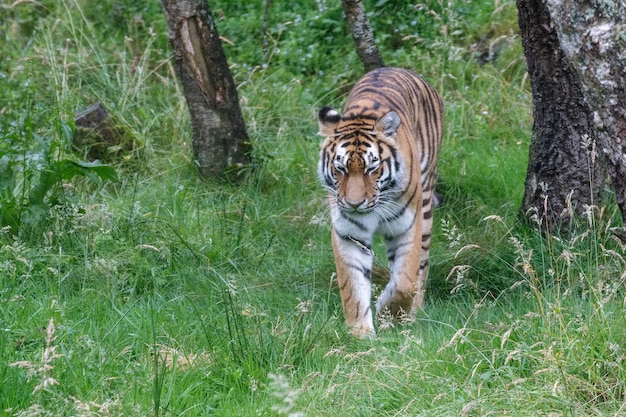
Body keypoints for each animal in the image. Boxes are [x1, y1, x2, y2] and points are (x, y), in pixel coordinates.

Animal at [316, 66, 444, 336]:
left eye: (371, 169)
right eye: (340, 168)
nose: (354, 204)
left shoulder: (407, 226)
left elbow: (405, 280)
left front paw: (388, 312)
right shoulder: (349, 234)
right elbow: (353, 286)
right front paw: (360, 334)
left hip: (426, 206)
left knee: (422, 267)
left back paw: (415, 310)